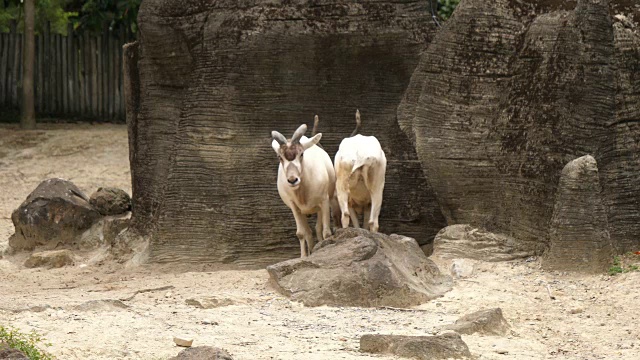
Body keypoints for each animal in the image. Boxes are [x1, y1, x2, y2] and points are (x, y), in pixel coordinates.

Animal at [272, 119, 338, 258]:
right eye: (280, 157)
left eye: (301, 154)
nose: (293, 180)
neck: (302, 192)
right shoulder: (294, 207)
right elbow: (302, 233)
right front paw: (303, 257)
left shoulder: (324, 202)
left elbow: (326, 232)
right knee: (308, 231)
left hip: (320, 207)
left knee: (318, 229)